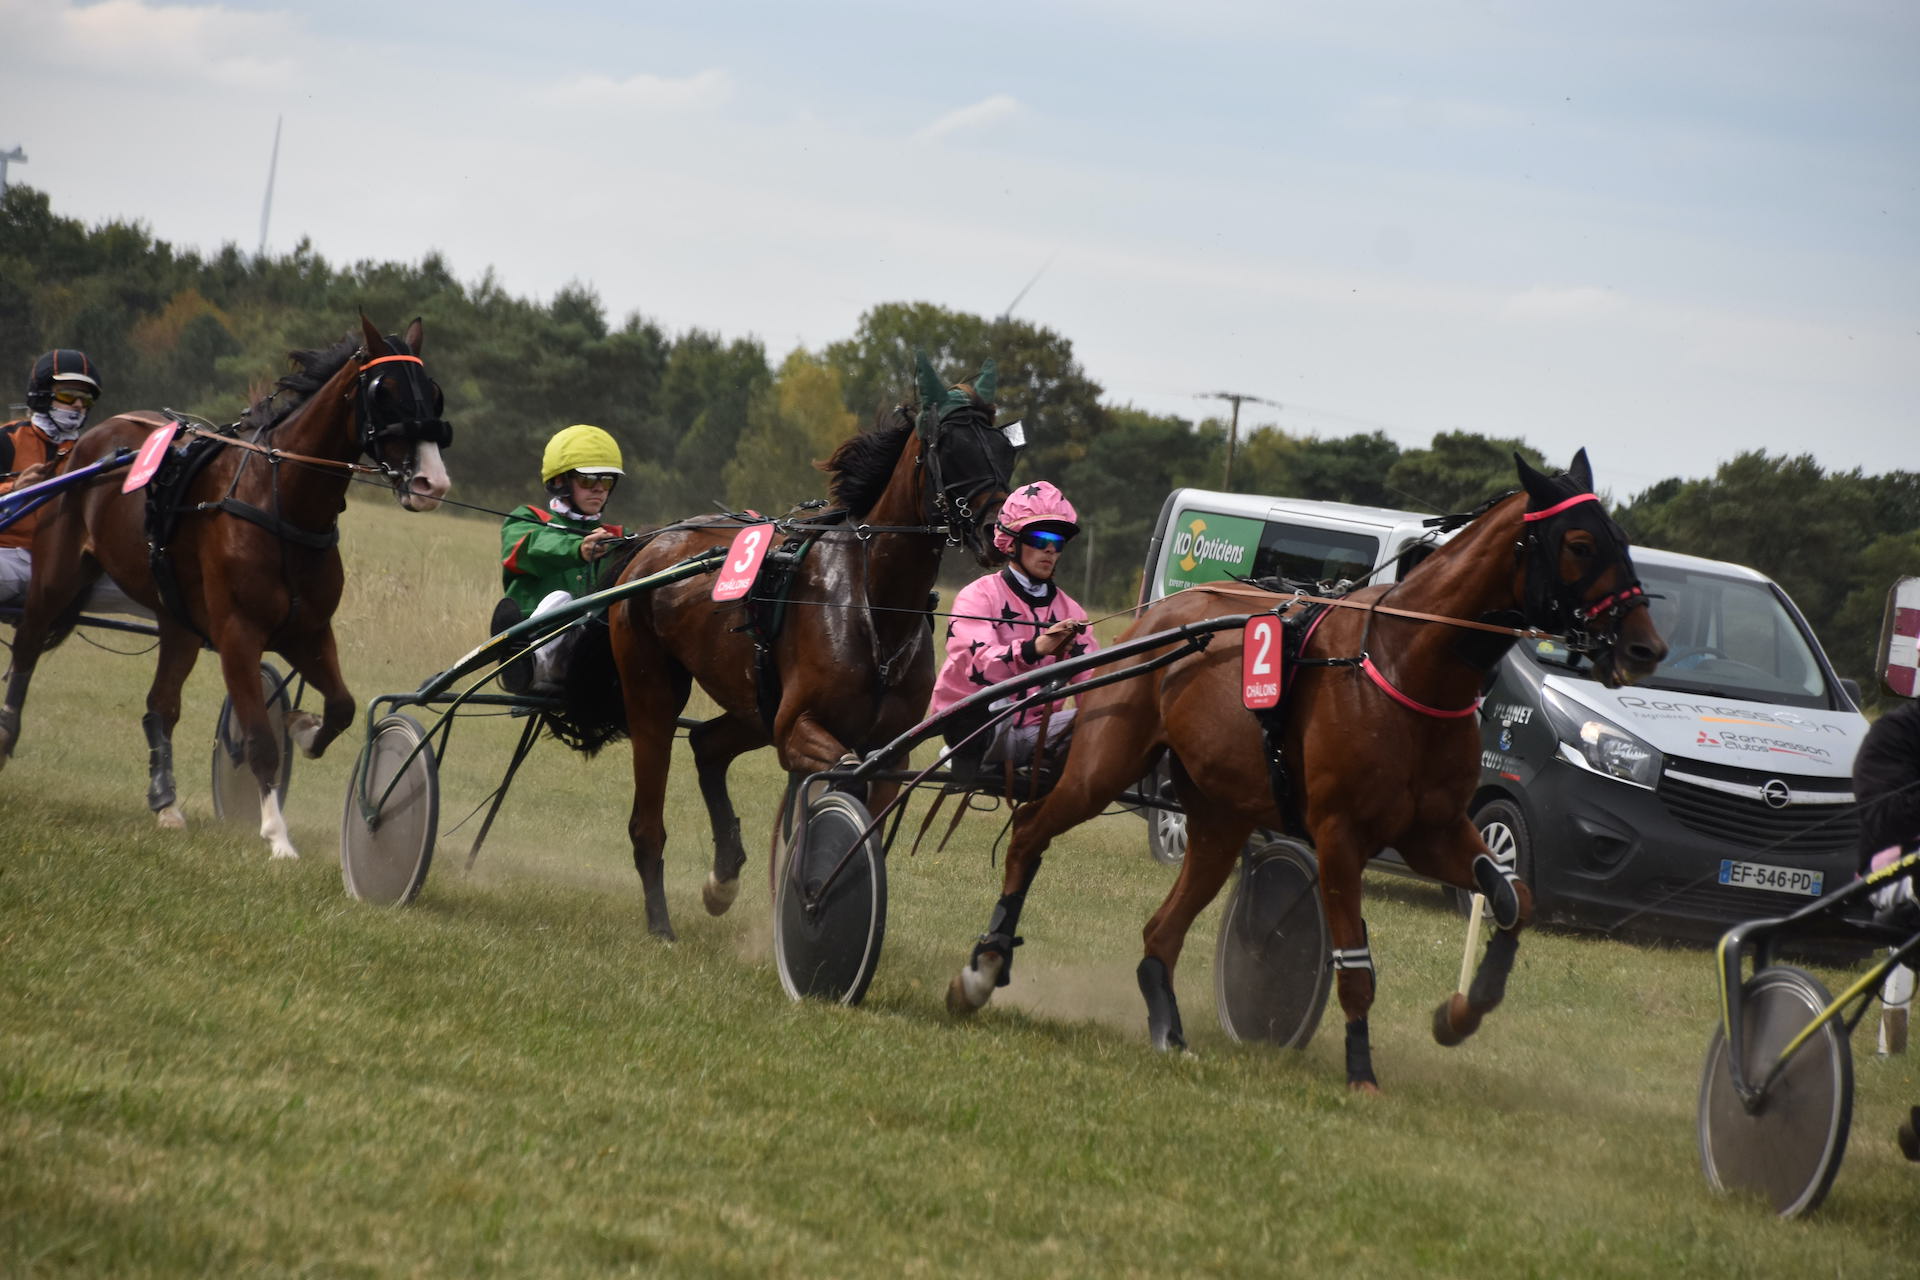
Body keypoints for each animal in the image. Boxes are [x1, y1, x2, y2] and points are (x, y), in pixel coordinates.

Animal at [0, 316, 452, 860]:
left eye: (433, 392)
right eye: (385, 391)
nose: (432, 483)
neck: (279, 503)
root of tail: (91, 443)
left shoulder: (309, 631)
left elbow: (342, 707)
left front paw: (305, 730)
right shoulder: (239, 634)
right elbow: (259, 739)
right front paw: (278, 837)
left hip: (175, 618)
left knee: (161, 705)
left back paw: (166, 802)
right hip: (55, 577)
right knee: (27, 649)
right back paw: (6, 735)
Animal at [598, 354, 1019, 940]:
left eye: (1004, 449)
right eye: (951, 447)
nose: (997, 531)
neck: (873, 603)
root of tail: (652, 542)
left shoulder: (888, 750)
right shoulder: (800, 727)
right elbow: (834, 776)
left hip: (754, 706)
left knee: (707, 743)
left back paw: (722, 879)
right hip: (652, 689)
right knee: (648, 815)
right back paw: (661, 925)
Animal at [943, 450, 1668, 1091]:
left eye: (1621, 538)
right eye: (1580, 542)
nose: (1646, 647)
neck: (1403, 662)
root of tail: (1159, 616)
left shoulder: (1432, 829)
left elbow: (1514, 899)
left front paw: (1460, 1013)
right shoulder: (1341, 835)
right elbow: (1355, 964)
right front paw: (1361, 1072)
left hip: (1219, 818)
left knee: (1160, 930)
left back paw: (1169, 1032)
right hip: (1104, 764)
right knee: (1031, 833)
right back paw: (983, 968)